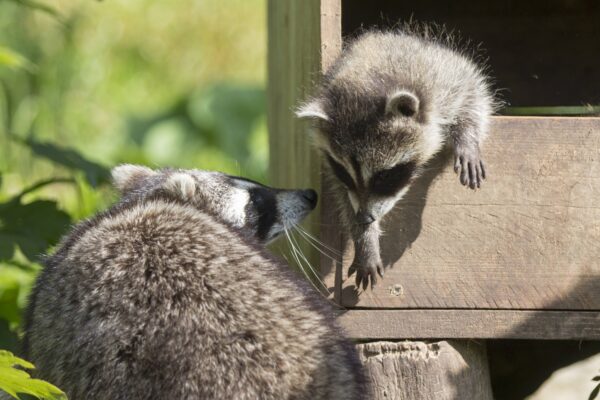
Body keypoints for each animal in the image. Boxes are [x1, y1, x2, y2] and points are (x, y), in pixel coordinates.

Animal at [298, 26, 494, 290]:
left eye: (384, 176)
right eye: (345, 174)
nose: (365, 217)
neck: (374, 79)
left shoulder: (444, 79)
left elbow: (473, 93)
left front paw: (467, 139)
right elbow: (344, 199)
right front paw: (365, 239)